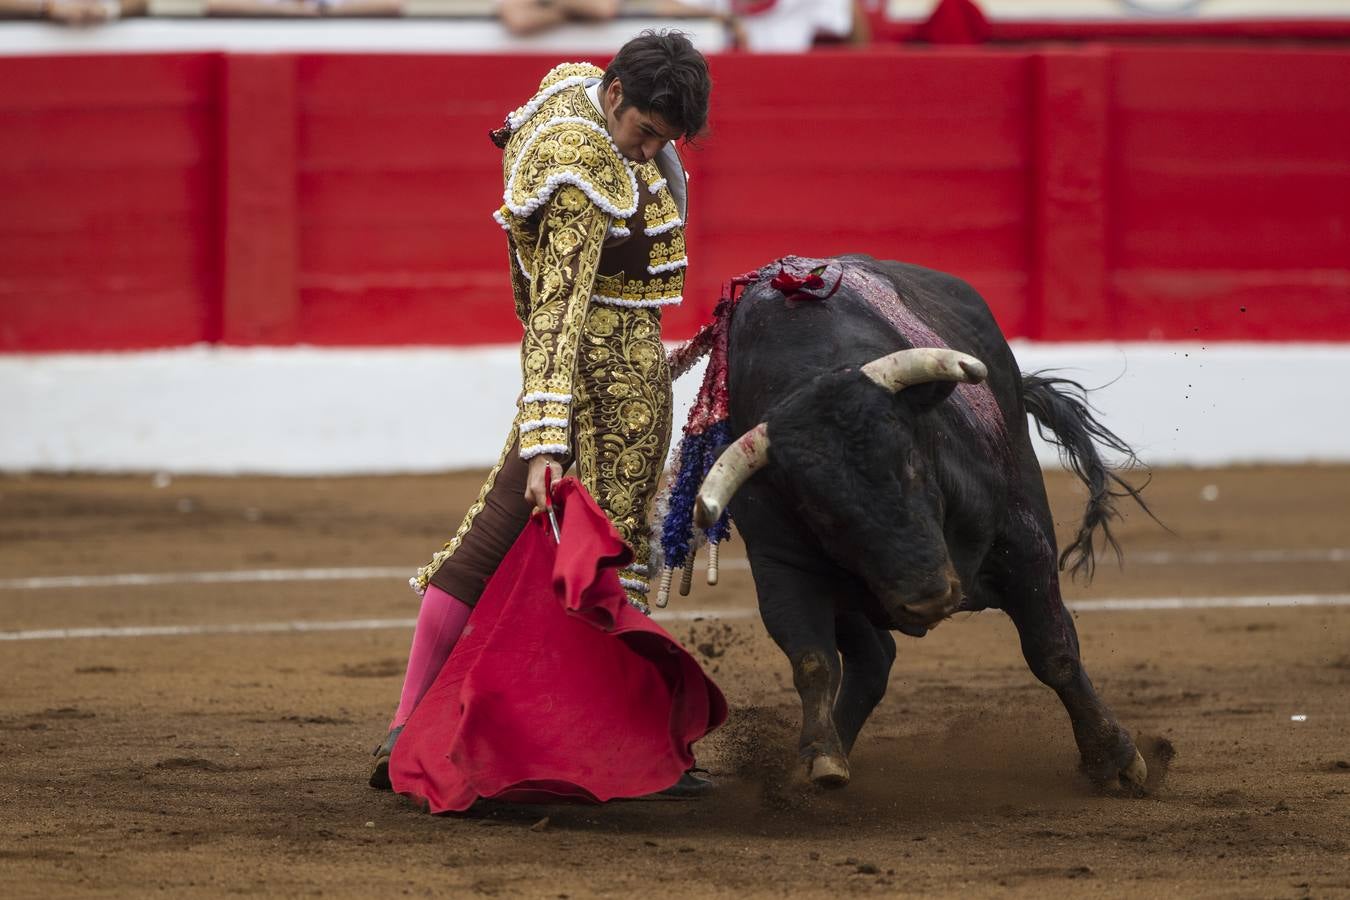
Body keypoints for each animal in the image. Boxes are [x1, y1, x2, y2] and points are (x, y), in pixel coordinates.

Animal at [696, 256, 1150, 793]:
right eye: (823, 512)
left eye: (912, 464)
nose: (929, 597)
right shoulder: (781, 568)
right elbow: (812, 661)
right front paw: (819, 758)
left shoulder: (1021, 541)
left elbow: (1053, 651)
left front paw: (1113, 759)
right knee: (873, 658)